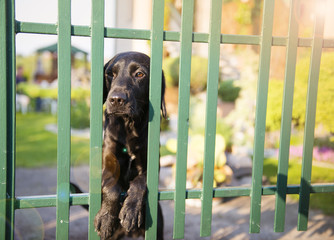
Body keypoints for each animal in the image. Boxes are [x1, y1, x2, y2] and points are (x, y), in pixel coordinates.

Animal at [94, 51, 166, 239]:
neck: (128, 127)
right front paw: (106, 217)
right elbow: (111, 187)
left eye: (139, 74)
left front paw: (131, 211)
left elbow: (140, 182)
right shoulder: (107, 162)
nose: (116, 99)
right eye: (110, 74)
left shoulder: (152, 168)